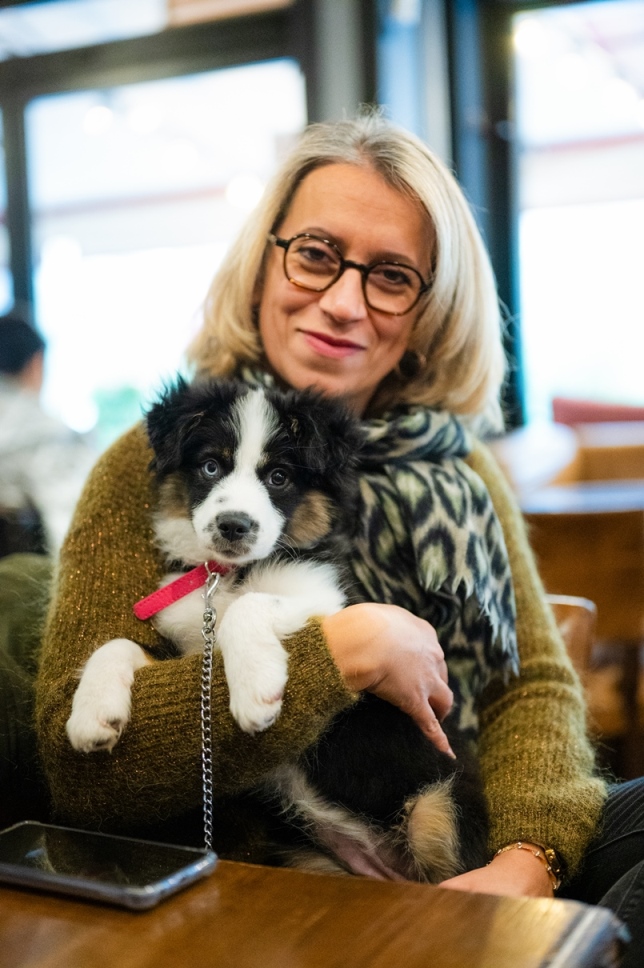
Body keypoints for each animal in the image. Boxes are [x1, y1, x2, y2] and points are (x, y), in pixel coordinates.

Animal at [66, 377, 488, 882]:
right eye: (211, 466)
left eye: (279, 477)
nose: (234, 526)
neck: (227, 576)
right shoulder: (189, 649)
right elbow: (117, 642)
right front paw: (92, 716)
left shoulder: (333, 601)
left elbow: (250, 606)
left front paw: (255, 694)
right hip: (309, 854)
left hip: (436, 808)